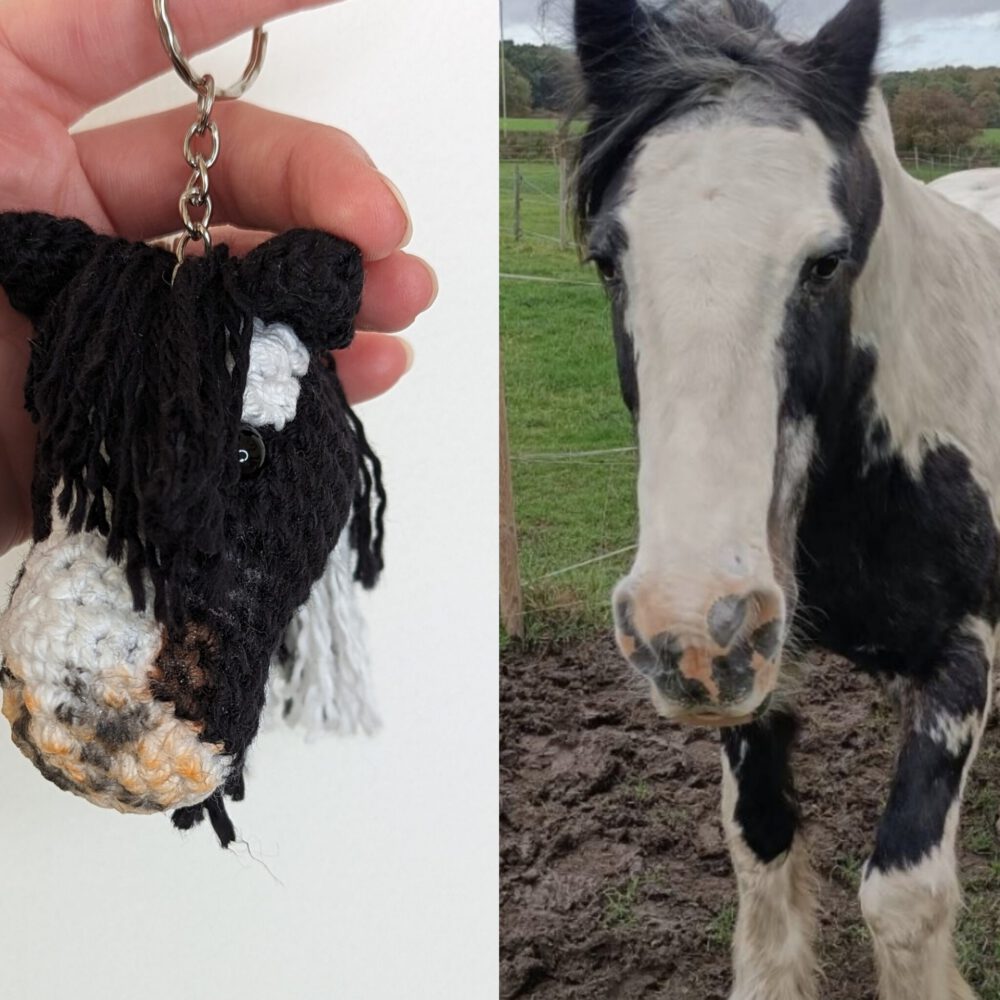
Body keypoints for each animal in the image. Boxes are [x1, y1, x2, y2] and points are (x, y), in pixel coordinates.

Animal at [574, 0, 1000, 996]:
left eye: (826, 261)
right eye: (607, 258)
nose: (682, 621)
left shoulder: (966, 653)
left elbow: (904, 897)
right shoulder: (752, 668)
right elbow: (759, 849)